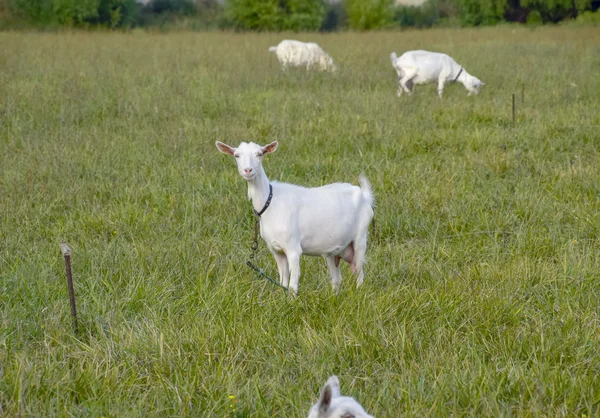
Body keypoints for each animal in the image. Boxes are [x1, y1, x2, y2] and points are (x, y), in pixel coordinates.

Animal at [216, 141, 376, 298]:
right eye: (237, 155)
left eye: (259, 154)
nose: (248, 170)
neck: (270, 202)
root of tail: (364, 195)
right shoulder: (276, 250)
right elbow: (283, 282)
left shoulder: (293, 249)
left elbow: (293, 285)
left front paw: (292, 301)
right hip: (333, 250)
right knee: (337, 279)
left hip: (360, 238)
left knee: (360, 274)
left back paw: (360, 293)